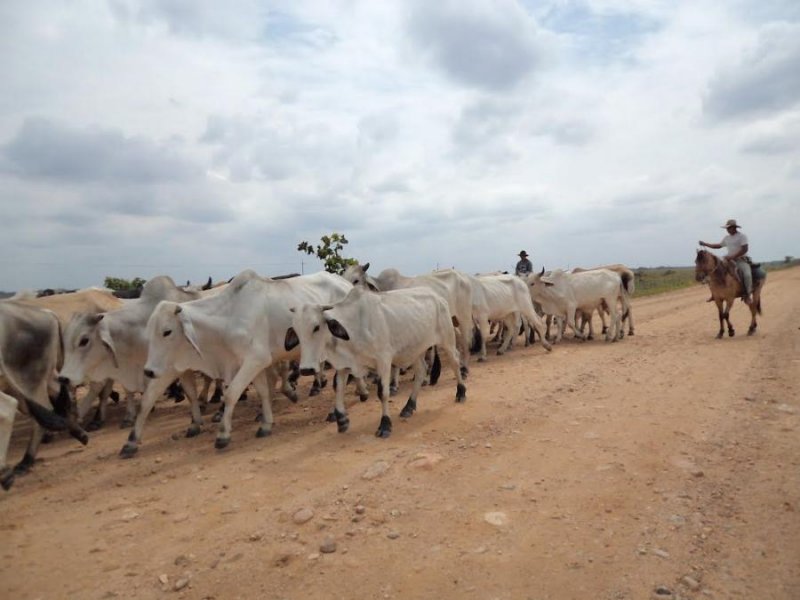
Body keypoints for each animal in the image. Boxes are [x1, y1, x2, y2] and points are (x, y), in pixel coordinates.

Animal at [132, 268, 360, 454]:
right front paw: (265, 424)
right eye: (149, 331)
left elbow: (231, 394)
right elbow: (263, 392)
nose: (149, 371)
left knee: (342, 374)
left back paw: (340, 410)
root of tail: (346, 283)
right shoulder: (254, 363)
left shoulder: (255, 359)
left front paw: (223, 435)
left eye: (167, 331)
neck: (227, 318)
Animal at [284, 286, 466, 436]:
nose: (306, 369)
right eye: (296, 331)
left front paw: (385, 425)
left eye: (316, 327)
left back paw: (461, 392)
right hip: (415, 350)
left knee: (455, 361)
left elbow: (382, 393)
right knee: (421, 372)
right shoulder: (344, 365)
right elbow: (338, 388)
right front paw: (342, 420)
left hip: (447, 339)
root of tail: (437, 296)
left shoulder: (384, 360)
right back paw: (409, 406)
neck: (354, 326)